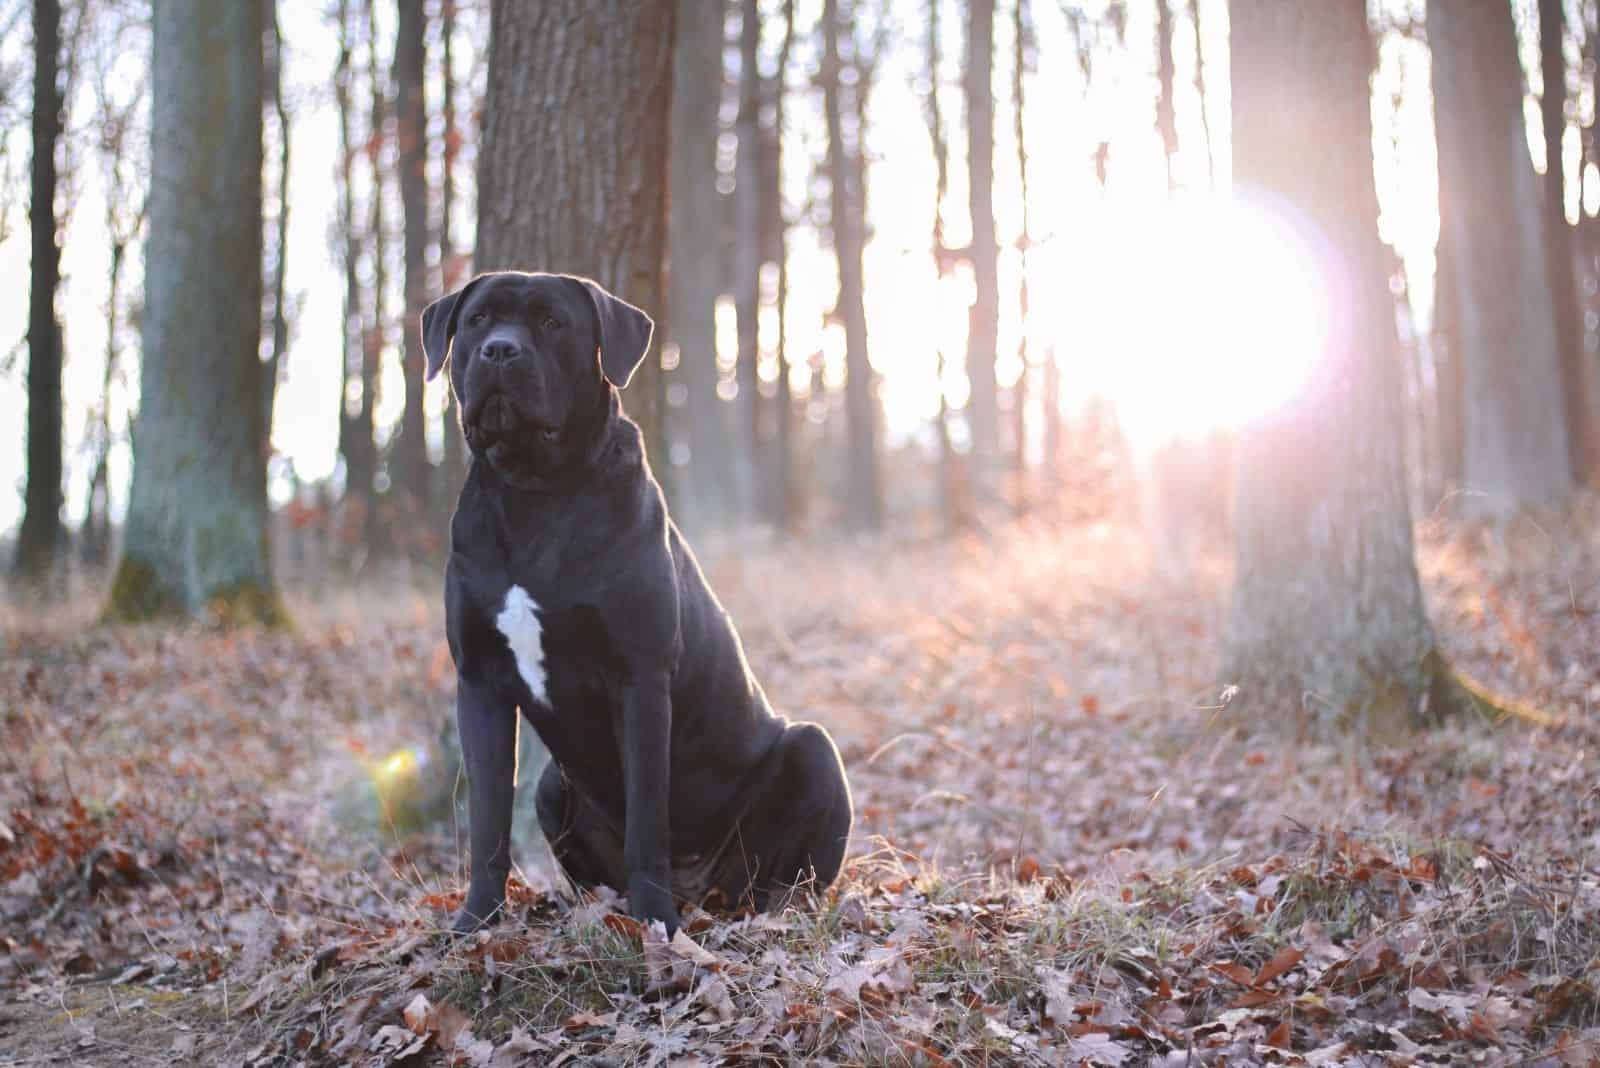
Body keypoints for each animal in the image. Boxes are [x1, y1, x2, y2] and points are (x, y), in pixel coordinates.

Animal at [419, 271, 857, 927]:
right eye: (477, 321)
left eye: (552, 322)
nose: (500, 351)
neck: (533, 492)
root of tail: (703, 890)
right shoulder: (480, 681)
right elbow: (488, 823)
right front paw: (475, 923)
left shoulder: (640, 676)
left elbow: (647, 817)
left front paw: (657, 926)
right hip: (553, 785)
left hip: (811, 750)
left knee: (792, 873)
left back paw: (765, 910)